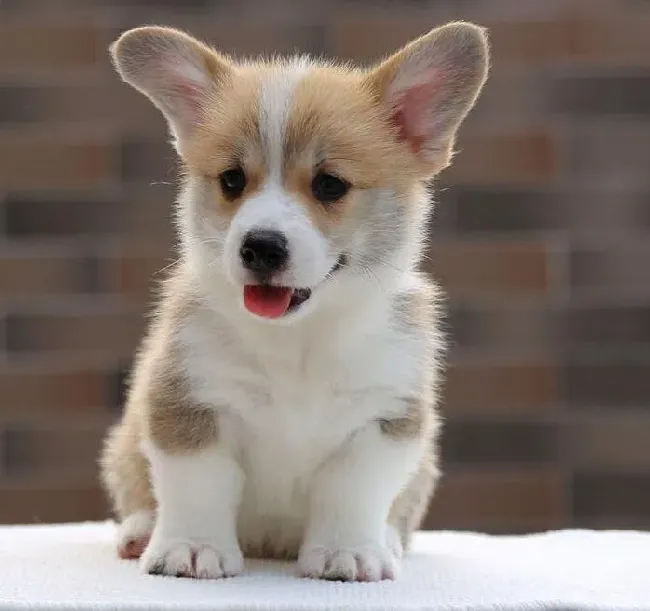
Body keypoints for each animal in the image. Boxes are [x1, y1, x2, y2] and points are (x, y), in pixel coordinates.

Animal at [101, 21, 486, 580]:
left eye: (330, 185)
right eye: (232, 180)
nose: (260, 246)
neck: (300, 337)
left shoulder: (385, 419)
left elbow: (351, 491)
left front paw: (350, 554)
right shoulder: (187, 400)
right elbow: (199, 484)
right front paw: (192, 548)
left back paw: (387, 543)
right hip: (123, 444)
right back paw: (139, 532)